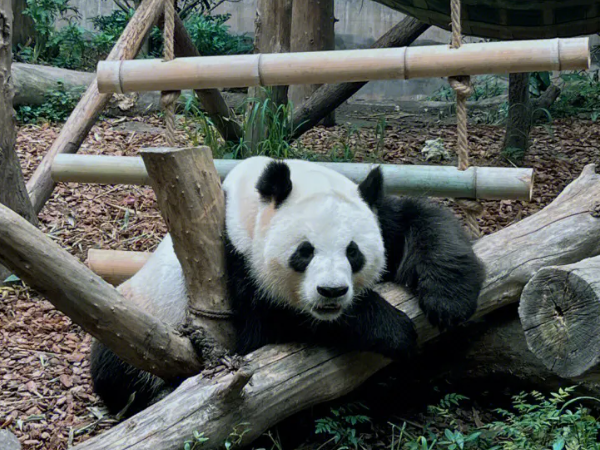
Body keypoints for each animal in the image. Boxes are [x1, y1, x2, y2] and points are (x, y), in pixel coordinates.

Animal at [89, 156, 486, 416]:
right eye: (304, 252)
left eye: (353, 252)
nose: (331, 292)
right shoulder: (233, 257)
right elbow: (269, 327)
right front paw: (393, 329)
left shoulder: (377, 215)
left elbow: (420, 219)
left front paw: (450, 298)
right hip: (144, 311)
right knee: (117, 369)